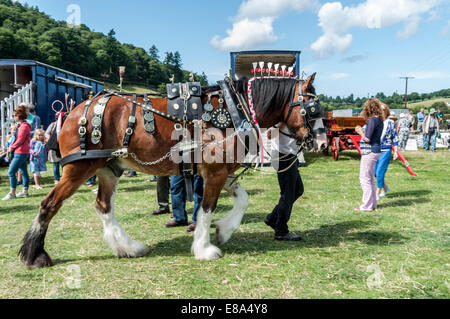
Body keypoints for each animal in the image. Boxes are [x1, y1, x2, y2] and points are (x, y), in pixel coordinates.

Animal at [18, 74, 326, 268]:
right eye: (312, 108)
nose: (320, 142)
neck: (233, 107)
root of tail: (74, 110)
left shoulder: (221, 173)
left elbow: (243, 200)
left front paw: (224, 230)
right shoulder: (214, 173)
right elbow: (206, 209)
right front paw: (204, 248)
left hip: (107, 169)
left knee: (103, 206)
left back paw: (127, 247)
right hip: (79, 168)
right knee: (49, 204)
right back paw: (35, 254)